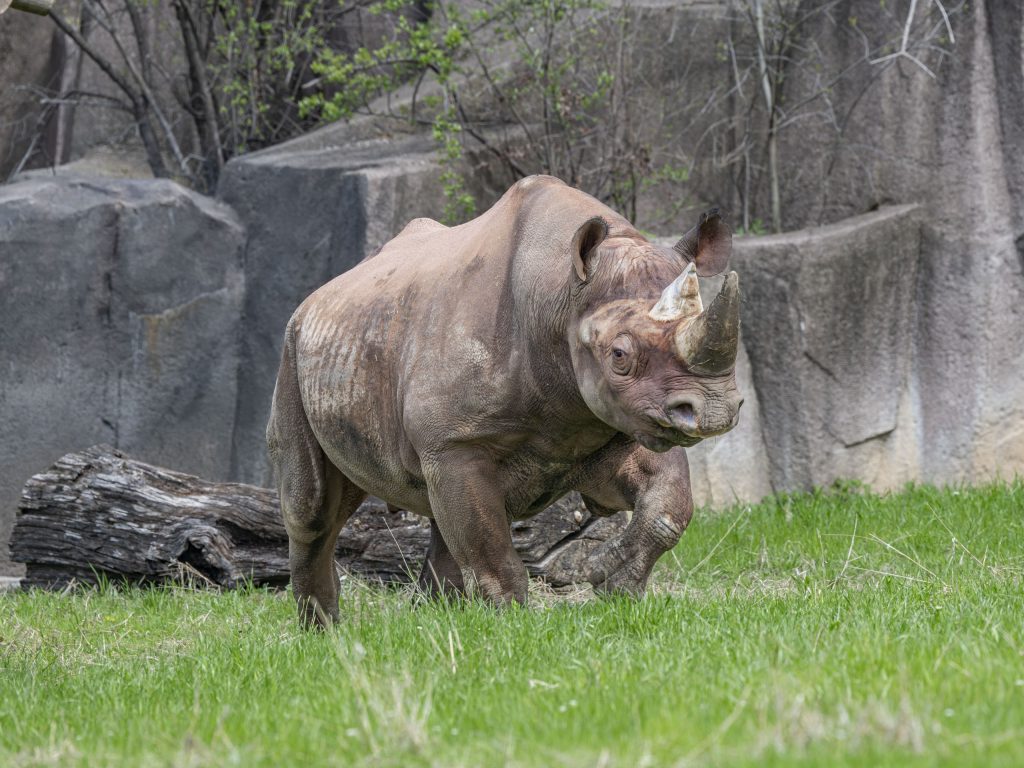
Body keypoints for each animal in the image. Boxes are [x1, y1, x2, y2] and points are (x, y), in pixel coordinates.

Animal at [268, 175, 743, 626]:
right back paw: (325, 634)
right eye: (619, 356)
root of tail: (318, 296)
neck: (559, 295)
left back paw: (432, 620)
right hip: (292, 349)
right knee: (312, 510)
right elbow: (492, 554)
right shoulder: (456, 442)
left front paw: (610, 580)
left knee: (437, 518)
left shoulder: (624, 421)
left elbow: (670, 507)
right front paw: (511, 624)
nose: (715, 410)